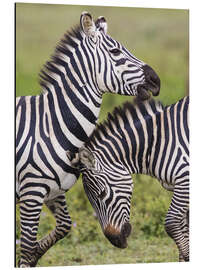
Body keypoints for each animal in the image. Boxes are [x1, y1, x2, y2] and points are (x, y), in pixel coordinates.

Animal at [15, 11, 160, 266]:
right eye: (115, 52)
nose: (157, 81)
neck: (51, 125)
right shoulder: (31, 192)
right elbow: (27, 244)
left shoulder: (56, 190)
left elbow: (62, 227)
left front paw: (35, 255)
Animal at [69, 96, 189, 262]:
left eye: (102, 194)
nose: (116, 241)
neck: (156, 142)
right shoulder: (178, 185)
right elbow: (185, 227)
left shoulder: (185, 178)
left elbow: (171, 223)